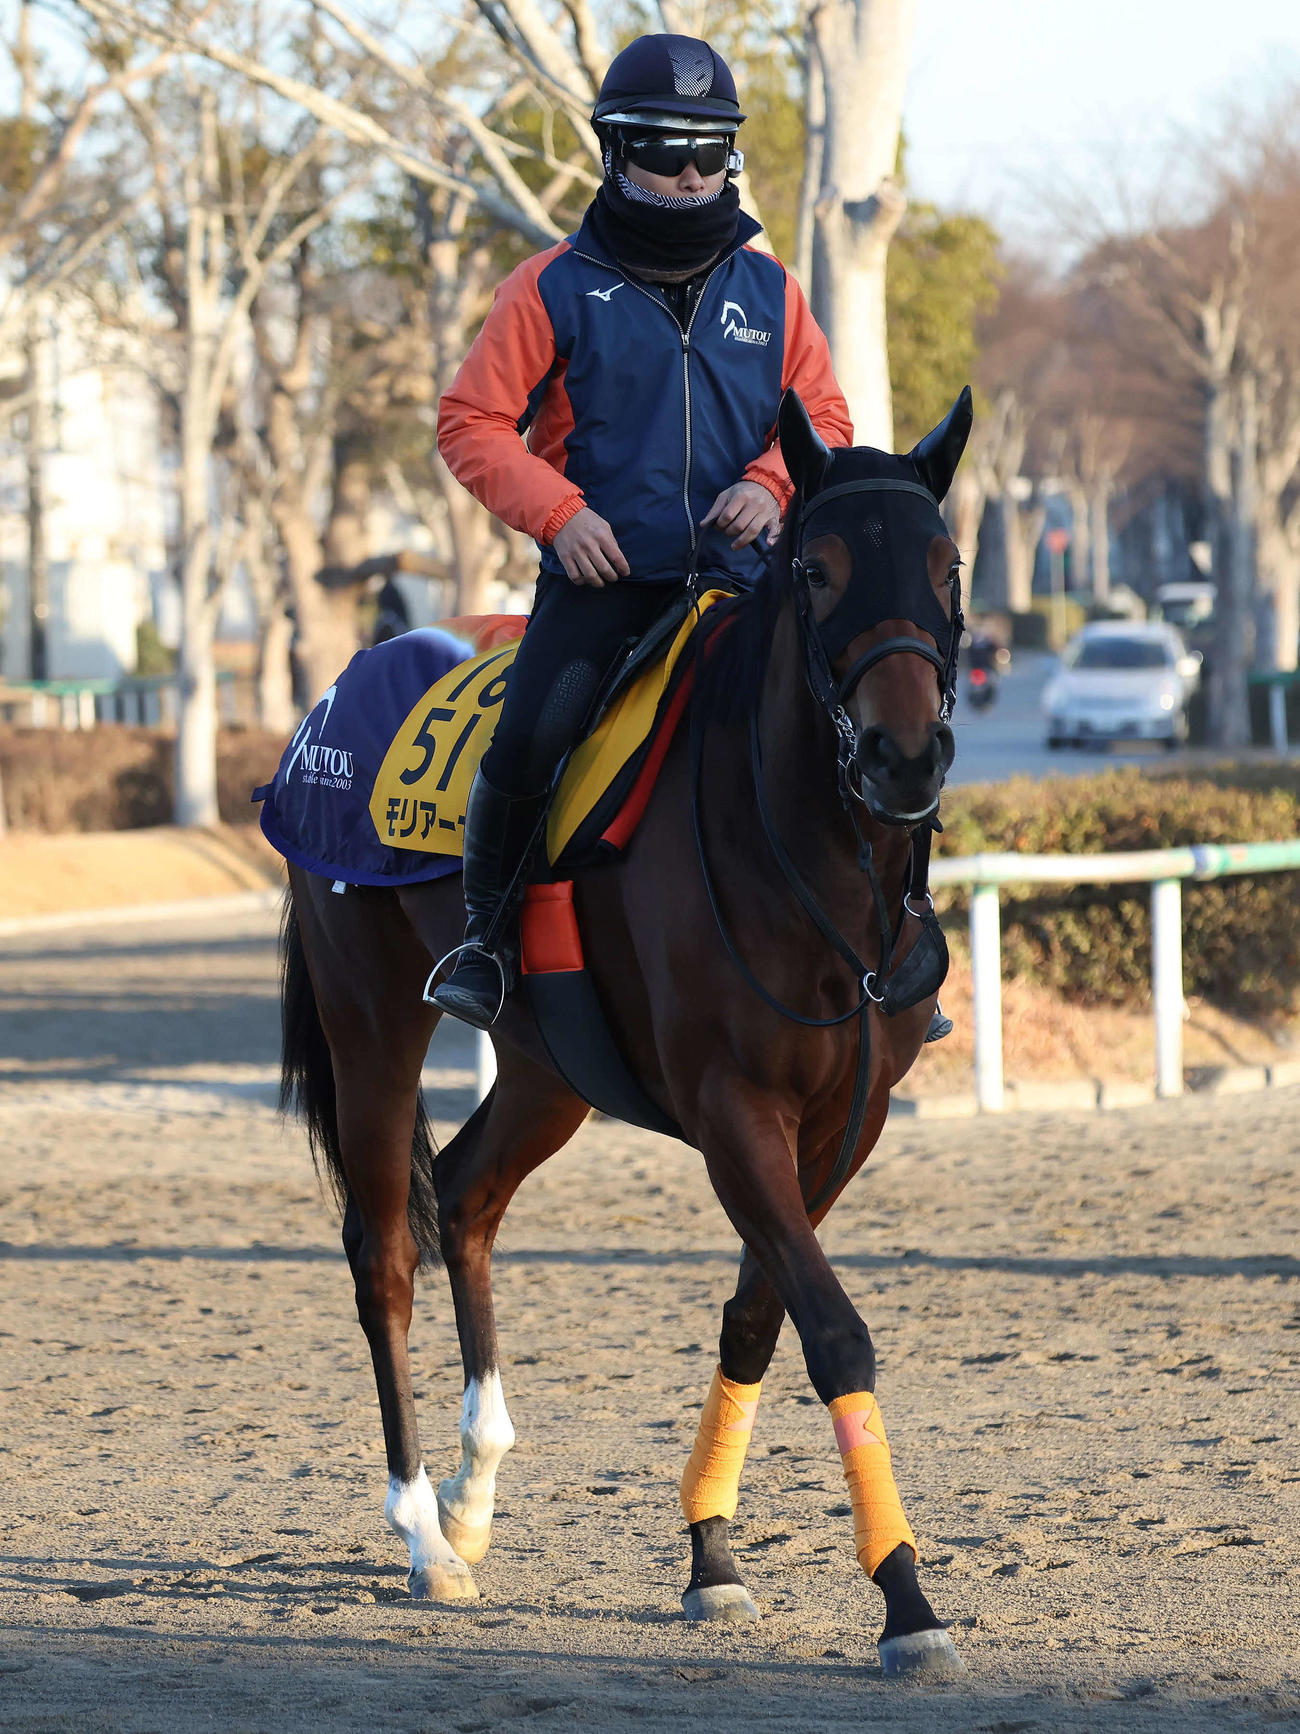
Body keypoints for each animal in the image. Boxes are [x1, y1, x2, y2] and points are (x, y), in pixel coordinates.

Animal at [278, 387, 972, 1677]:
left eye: (946, 564)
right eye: (816, 569)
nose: (904, 755)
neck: (808, 859)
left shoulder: (842, 1122)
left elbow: (758, 1317)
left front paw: (710, 1556)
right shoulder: (731, 1107)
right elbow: (833, 1332)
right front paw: (905, 1599)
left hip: (548, 1068)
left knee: (467, 1194)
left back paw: (474, 1490)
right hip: (371, 1019)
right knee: (385, 1248)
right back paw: (422, 1532)